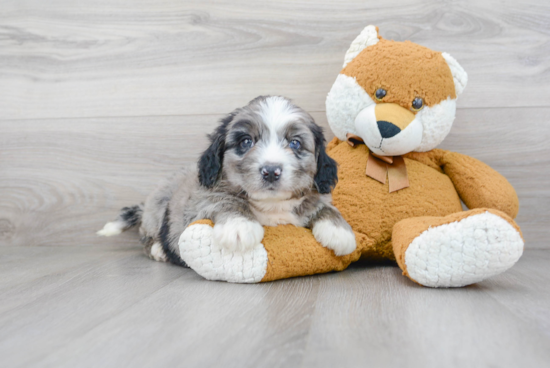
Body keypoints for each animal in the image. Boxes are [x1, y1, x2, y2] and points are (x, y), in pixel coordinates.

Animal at [98, 96, 358, 266]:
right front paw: (240, 226)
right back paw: (158, 249)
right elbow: (227, 201)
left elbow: (323, 206)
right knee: (147, 236)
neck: (270, 204)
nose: (271, 171)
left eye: (295, 143)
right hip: (158, 208)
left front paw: (340, 231)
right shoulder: (200, 202)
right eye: (245, 142)